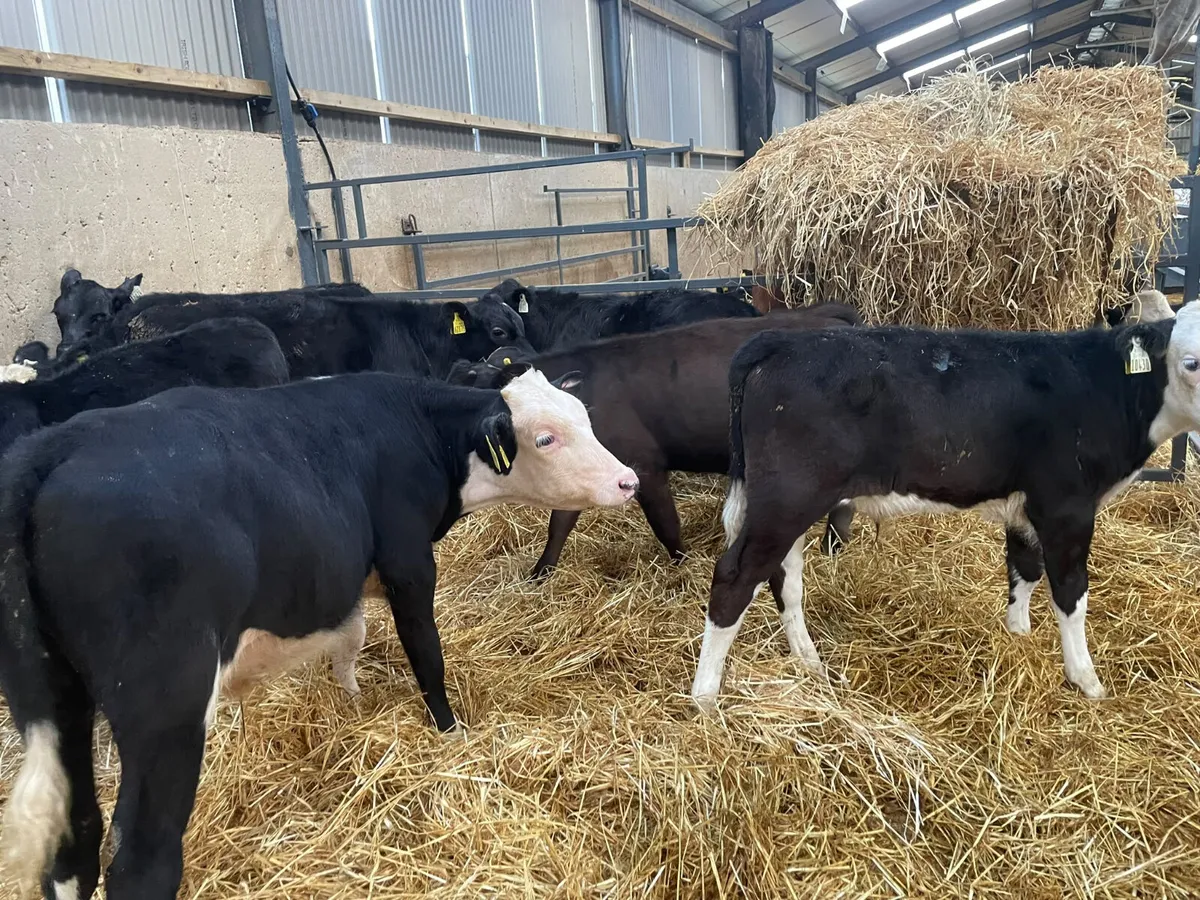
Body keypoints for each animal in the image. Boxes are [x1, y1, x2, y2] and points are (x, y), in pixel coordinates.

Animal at [0, 367, 637, 899]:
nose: (628, 480)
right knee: (141, 865)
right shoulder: (408, 564)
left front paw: (351, 703)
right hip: (164, 710)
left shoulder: (345, 581)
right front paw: (451, 733)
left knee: (74, 847)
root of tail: (49, 450)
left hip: (61, 704)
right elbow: (426, 654)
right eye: (546, 438)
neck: (419, 430)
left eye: (584, 417)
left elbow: (350, 639)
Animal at [448, 305, 861, 579]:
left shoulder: (643, 465)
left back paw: (832, 547)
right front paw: (540, 572)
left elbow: (666, 524)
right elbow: (559, 524)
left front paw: (683, 565)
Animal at [691, 302, 1200, 711]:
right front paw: (1086, 680)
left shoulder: (1025, 506)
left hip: (788, 502)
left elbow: (1024, 571)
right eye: (1191, 362)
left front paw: (1018, 637)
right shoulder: (1066, 506)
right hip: (788, 496)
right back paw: (705, 696)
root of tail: (778, 340)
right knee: (735, 579)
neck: (1106, 389)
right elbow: (1070, 592)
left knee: (786, 577)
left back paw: (810, 662)